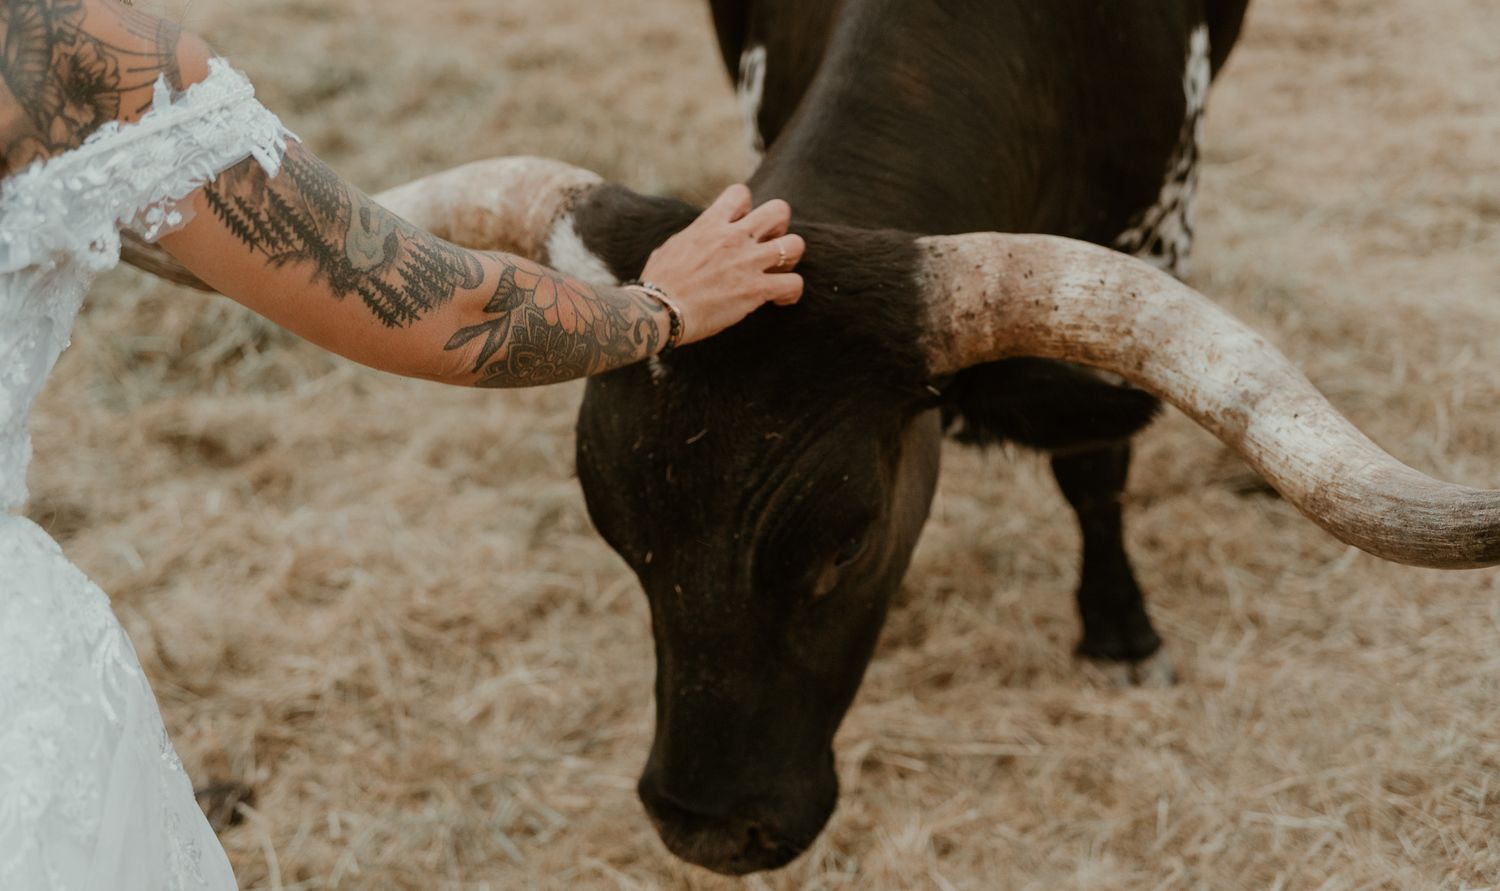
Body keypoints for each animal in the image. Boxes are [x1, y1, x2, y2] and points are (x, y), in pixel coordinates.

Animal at [124, 0, 1500, 876]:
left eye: (842, 546)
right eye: (620, 543)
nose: (705, 832)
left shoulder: (1162, 211)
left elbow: (1095, 463)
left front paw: (1120, 631)